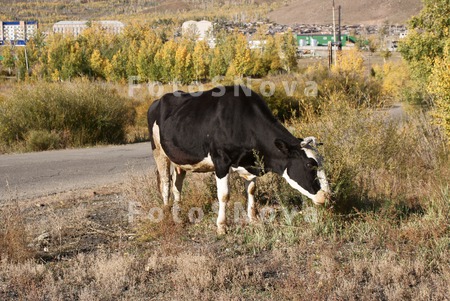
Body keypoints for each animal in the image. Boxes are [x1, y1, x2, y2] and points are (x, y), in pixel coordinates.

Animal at [148, 85, 330, 234]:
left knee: (177, 183)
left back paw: (178, 213)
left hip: (179, 158)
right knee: (166, 183)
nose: (327, 196)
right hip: (158, 152)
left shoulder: (250, 164)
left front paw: (254, 218)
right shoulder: (220, 161)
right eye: (309, 165)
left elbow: (251, 190)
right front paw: (221, 226)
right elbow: (224, 195)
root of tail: (158, 101)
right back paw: (166, 213)